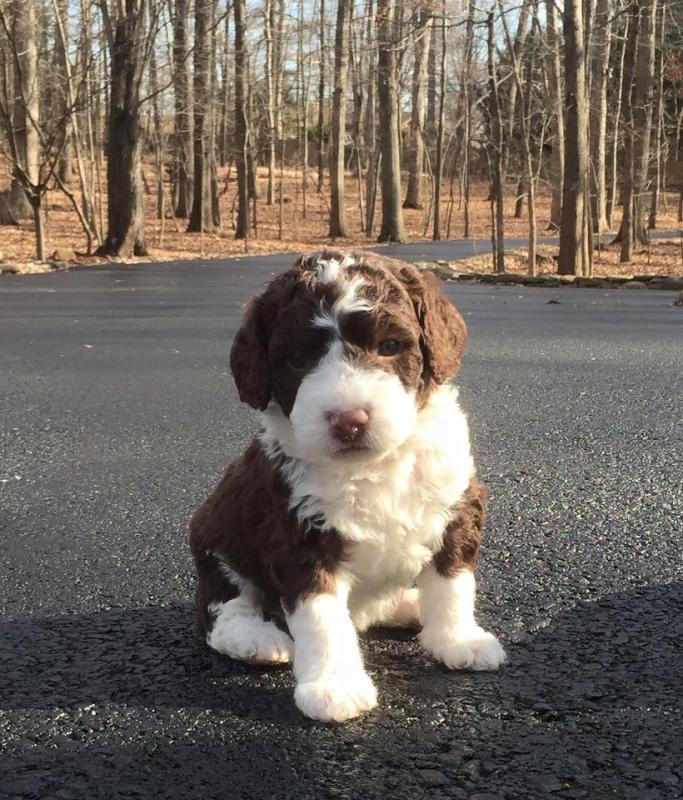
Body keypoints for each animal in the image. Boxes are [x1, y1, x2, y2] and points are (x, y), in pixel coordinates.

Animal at [190, 252, 504, 724]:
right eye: (297, 360)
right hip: (220, 545)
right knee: (222, 612)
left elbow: (452, 582)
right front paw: (333, 687)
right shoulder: (299, 535)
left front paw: (458, 640)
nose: (349, 421)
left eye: (389, 347)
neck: (373, 466)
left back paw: (409, 605)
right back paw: (259, 641)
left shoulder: (455, 506)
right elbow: (322, 619)